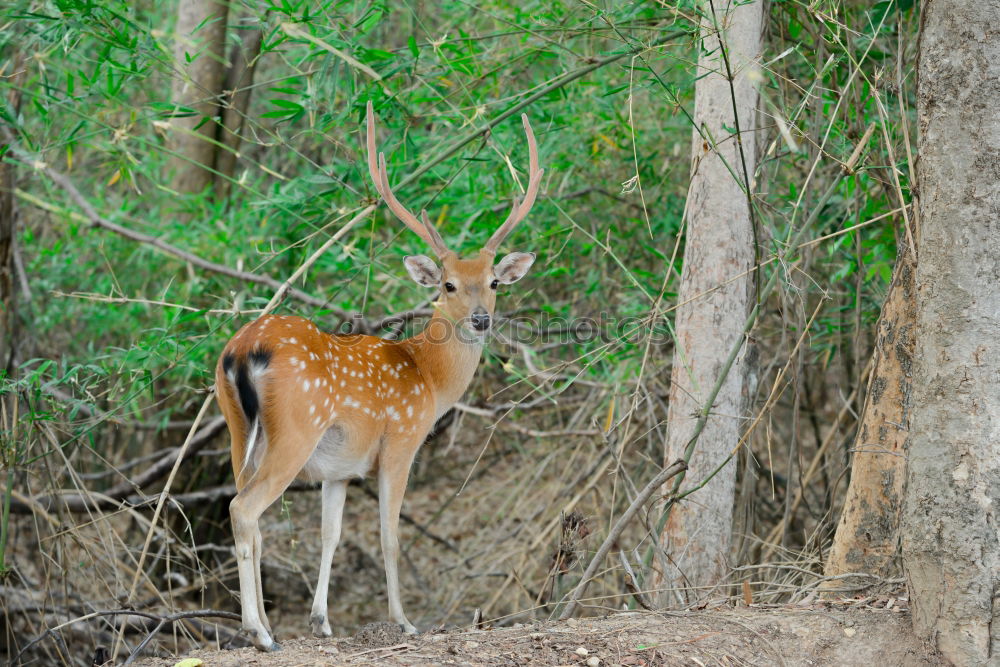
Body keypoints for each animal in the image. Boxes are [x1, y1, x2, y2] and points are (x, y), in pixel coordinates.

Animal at [215, 102, 544, 648]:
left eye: (494, 282)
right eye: (448, 284)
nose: (481, 319)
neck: (429, 379)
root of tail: (244, 351)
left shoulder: (339, 470)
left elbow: (331, 535)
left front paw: (321, 621)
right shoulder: (401, 440)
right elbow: (390, 535)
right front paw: (404, 621)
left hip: (238, 428)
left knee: (249, 514)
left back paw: (265, 625)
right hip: (296, 429)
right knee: (244, 509)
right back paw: (258, 632)